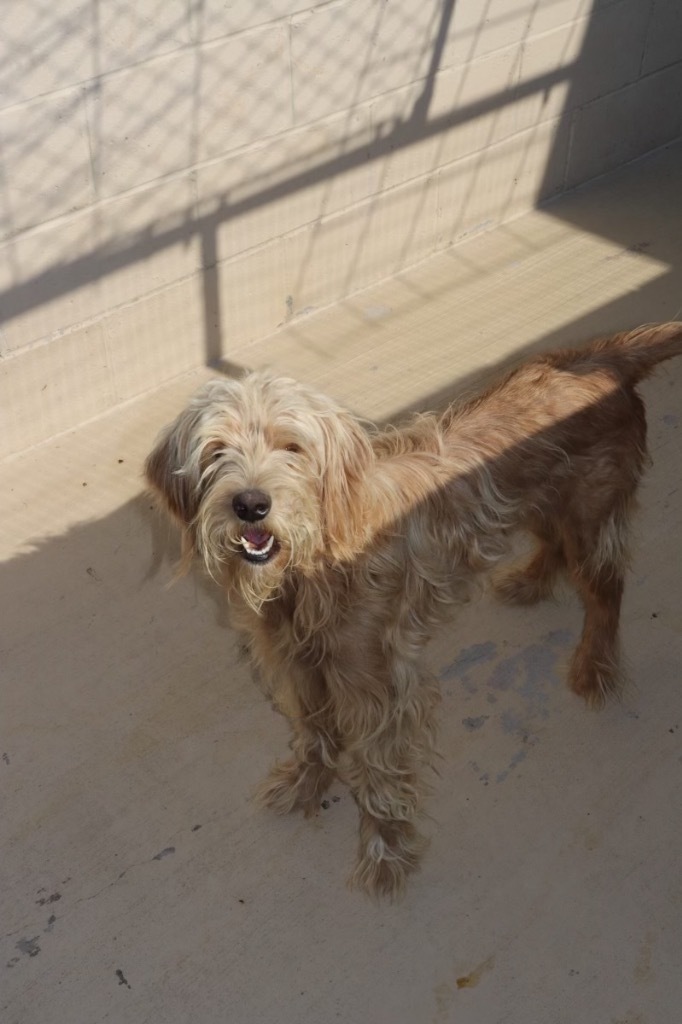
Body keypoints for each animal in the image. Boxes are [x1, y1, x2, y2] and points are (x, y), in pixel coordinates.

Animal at [143, 319, 679, 897]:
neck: (308, 569)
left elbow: (380, 772)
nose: (250, 504)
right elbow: (313, 733)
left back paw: (595, 665)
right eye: (215, 450)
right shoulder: (297, 664)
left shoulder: (377, 687)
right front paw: (306, 783)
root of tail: (598, 359)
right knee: (552, 545)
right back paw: (530, 582)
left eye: (293, 447)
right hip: (543, 503)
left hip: (590, 518)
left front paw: (385, 853)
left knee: (606, 591)